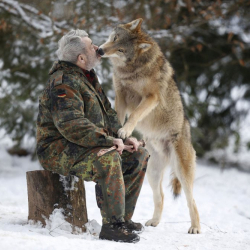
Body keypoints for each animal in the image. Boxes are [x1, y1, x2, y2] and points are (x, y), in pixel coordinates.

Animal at [99, 18, 201, 233]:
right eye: (114, 38)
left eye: (121, 49)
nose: (101, 51)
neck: (132, 69)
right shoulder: (121, 94)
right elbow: (118, 115)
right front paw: (117, 132)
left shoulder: (151, 97)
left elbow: (135, 114)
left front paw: (125, 130)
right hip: (152, 173)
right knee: (160, 196)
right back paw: (154, 222)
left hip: (182, 173)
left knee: (192, 201)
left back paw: (195, 228)